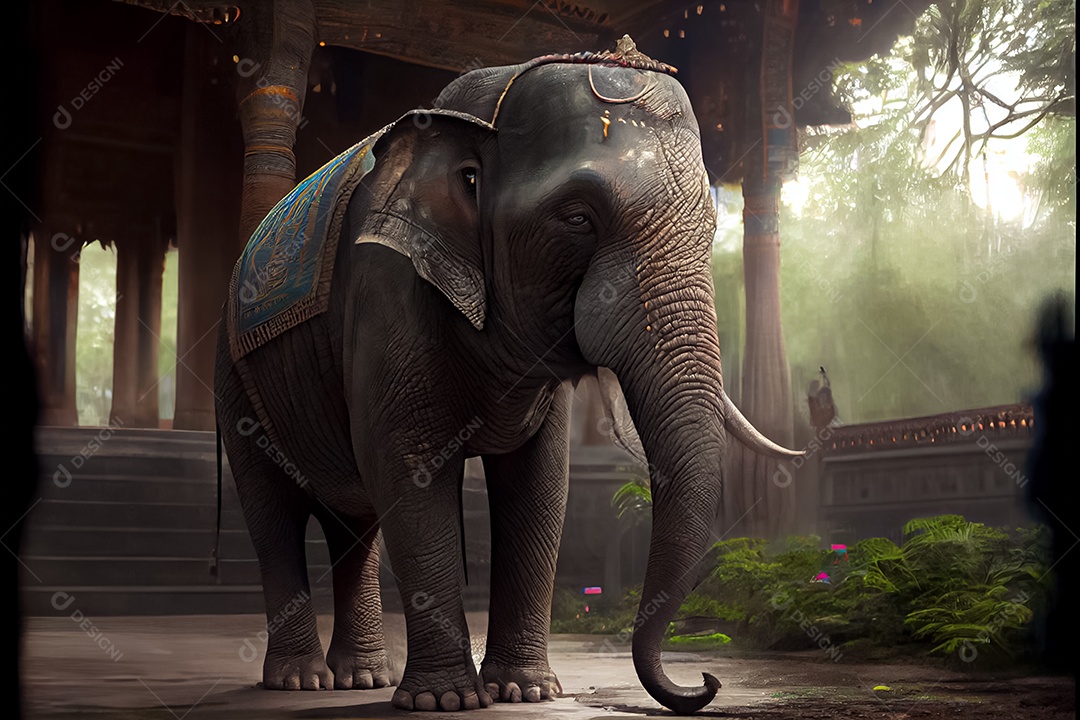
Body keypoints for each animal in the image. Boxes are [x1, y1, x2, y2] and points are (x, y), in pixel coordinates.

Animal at [214, 36, 799, 714]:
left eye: (709, 226)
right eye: (577, 218)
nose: (704, 681)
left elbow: (539, 481)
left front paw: (527, 692)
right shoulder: (386, 284)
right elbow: (406, 465)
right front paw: (445, 702)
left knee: (355, 522)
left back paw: (361, 679)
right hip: (233, 380)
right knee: (274, 514)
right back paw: (300, 681)